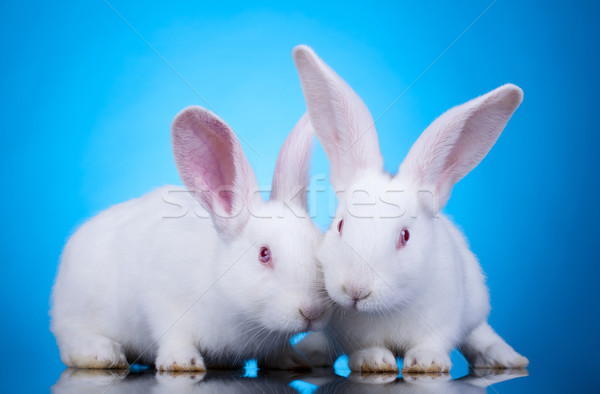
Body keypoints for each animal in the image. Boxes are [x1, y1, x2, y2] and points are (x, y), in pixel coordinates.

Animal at [51, 106, 330, 370]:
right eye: (264, 254)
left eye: (319, 245)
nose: (312, 311)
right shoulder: (161, 301)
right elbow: (174, 336)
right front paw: (181, 363)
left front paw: (294, 361)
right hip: (77, 311)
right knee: (70, 342)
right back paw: (101, 354)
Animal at [292, 44, 528, 374]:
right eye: (340, 227)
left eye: (404, 236)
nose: (355, 290)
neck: (388, 308)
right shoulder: (352, 334)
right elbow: (366, 348)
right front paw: (375, 363)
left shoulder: (443, 320)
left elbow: (432, 344)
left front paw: (427, 363)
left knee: (479, 333)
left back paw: (505, 358)